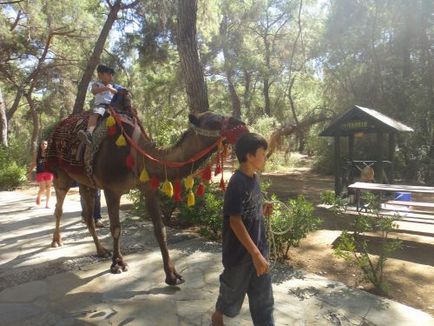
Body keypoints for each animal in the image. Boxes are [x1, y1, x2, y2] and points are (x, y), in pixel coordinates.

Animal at [47, 90, 248, 286]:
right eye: (215, 120)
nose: (242, 124)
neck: (137, 154)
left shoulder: (148, 188)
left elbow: (160, 230)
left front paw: (172, 275)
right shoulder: (111, 190)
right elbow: (116, 228)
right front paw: (118, 263)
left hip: (85, 182)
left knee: (88, 216)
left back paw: (101, 250)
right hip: (62, 175)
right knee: (59, 207)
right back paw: (56, 241)